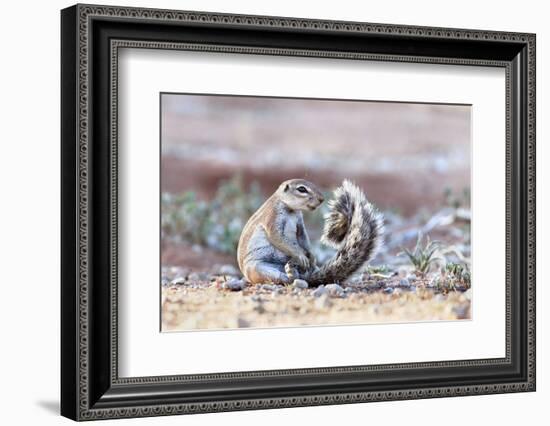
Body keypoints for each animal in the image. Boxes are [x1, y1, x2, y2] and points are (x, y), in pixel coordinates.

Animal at [239, 178, 386, 284]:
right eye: (301, 189)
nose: (321, 199)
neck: (291, 209)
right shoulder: (272, 216)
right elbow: (277, 236)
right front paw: (301, 256)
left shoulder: (299, 222)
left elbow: (302, 237)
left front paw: (311, 257)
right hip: (257, 268)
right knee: (280, 278)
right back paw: (290, 274)